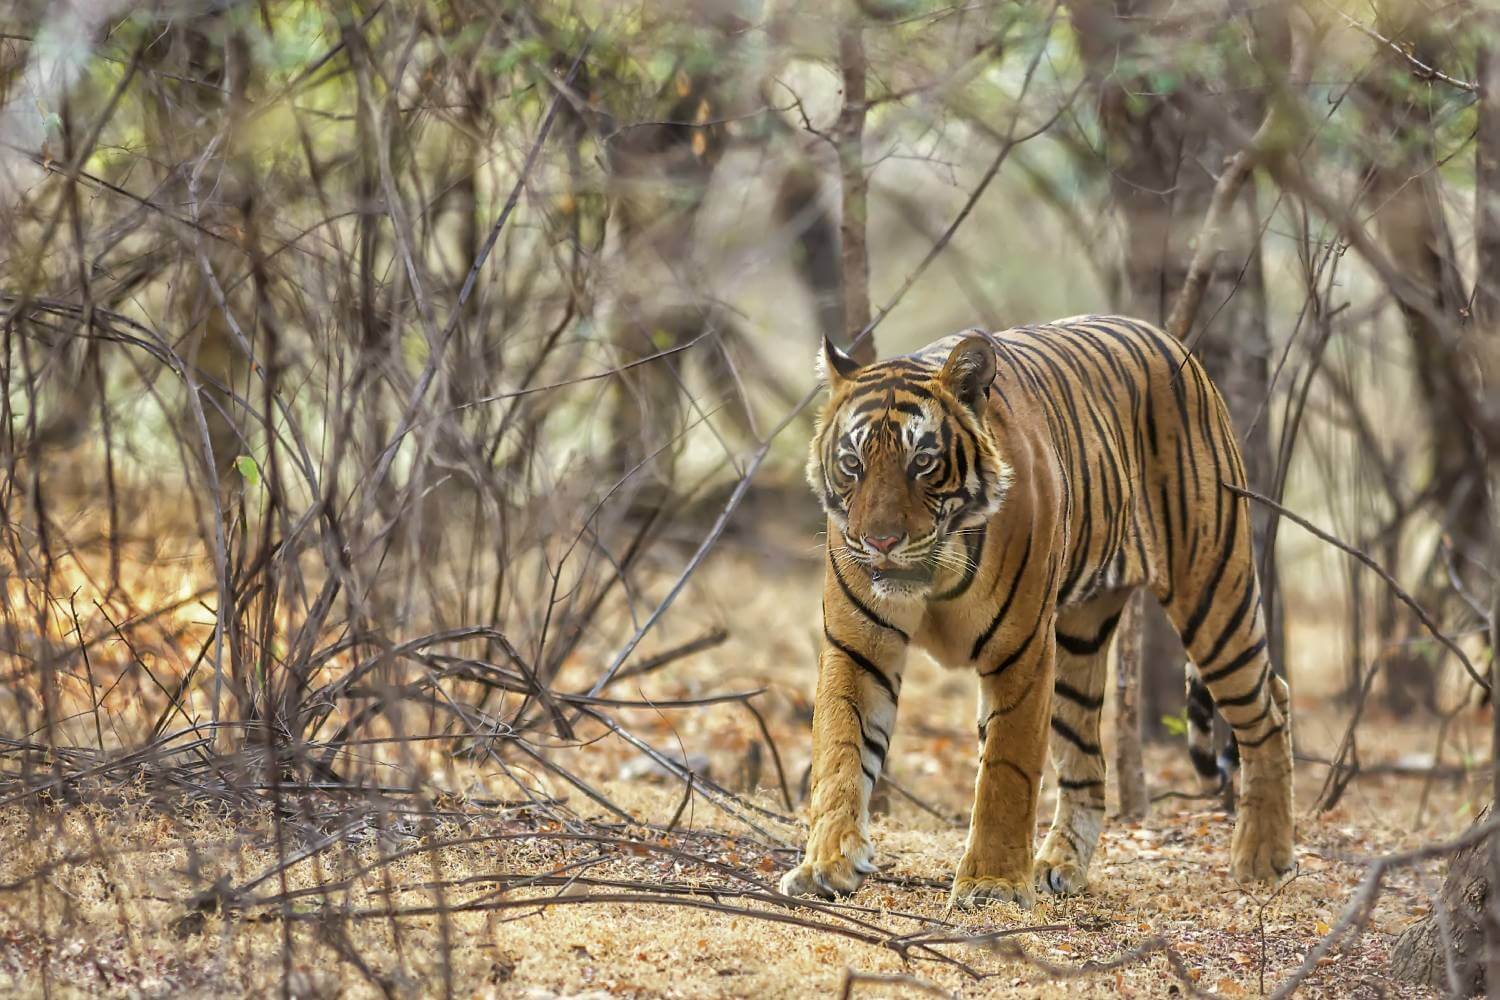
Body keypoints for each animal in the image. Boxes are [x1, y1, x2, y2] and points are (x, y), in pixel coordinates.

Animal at [780, 313, 1296, 905]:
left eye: (923, 462)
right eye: (852, 463)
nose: (880, 542)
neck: (933, 574)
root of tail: (1169, 339)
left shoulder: (1021, 650)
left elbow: (1007, 769)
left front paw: (993, 883)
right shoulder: (857, 646)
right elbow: (840, 751)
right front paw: (826, 864)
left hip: (1212, 590)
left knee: (1269, 707)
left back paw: (1264, 857)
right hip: (1079, 640)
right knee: (1089, 761)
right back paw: (1060, 864)